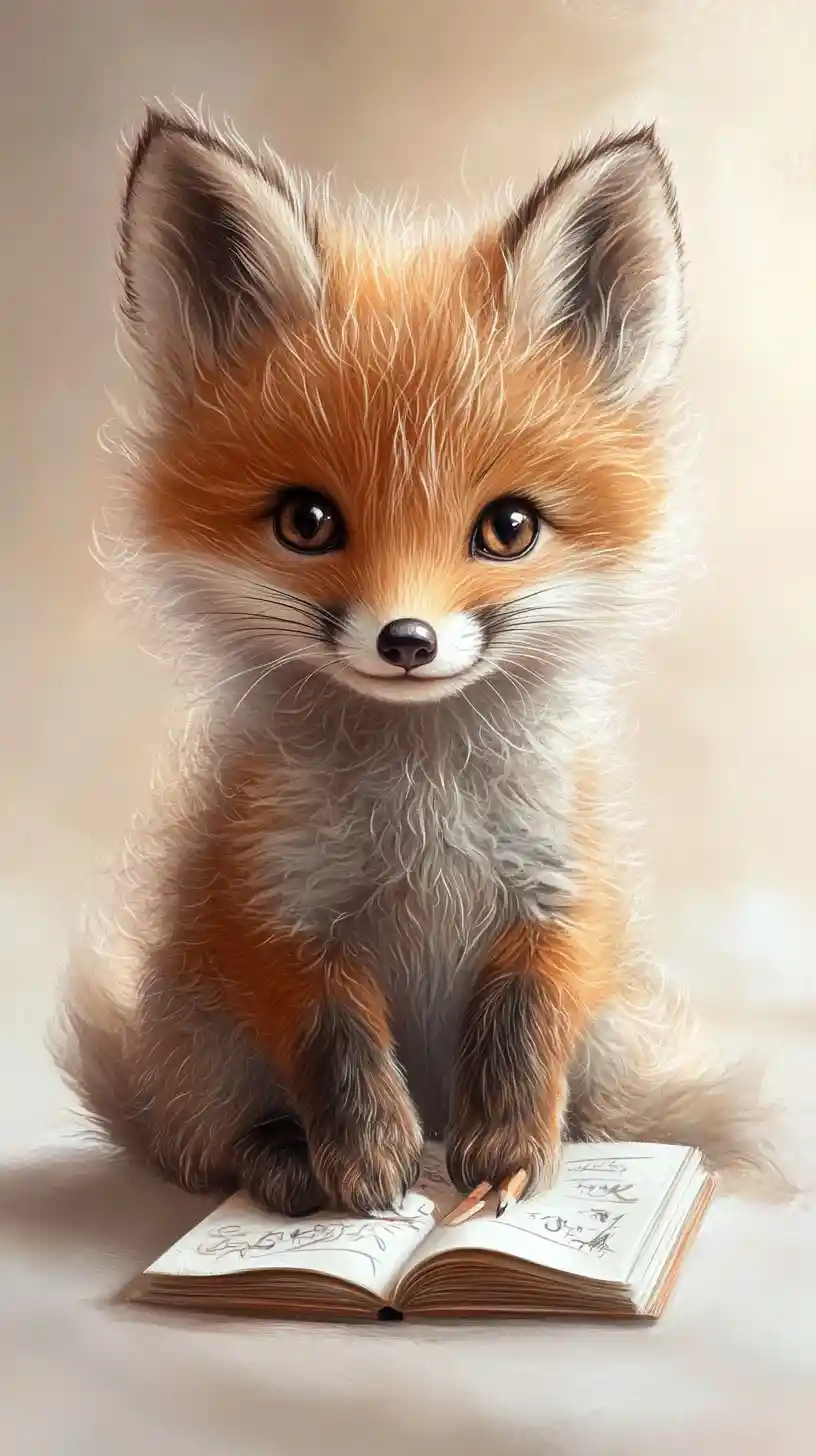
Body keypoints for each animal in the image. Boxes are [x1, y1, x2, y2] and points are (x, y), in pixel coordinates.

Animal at [57, 106, 778, 1217]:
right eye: (307, 521)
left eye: (509, 527)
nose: (407, 641)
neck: (423, 799)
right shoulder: (273, 903)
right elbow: (335, 1036)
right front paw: (365, 1162)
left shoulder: (562, 887)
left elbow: (528, 1012)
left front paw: (512, 1152)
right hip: (201, 1041)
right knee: (199, 1142)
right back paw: (281, 1161)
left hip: (612, 1035)